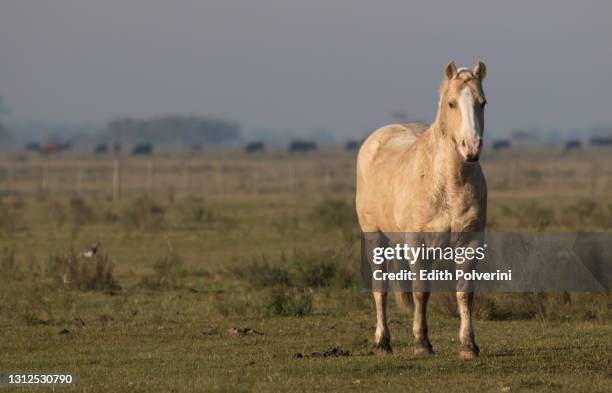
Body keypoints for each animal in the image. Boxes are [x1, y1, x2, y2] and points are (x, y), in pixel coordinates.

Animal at [354, 59, 488, 356]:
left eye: (482, 102)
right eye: (451, 103)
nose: (471, 148)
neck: (448, 182)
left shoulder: (470, 240)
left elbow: (466, 292)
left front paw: (468, 345)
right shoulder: (418, 242)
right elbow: (420, 291)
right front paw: (422, 343)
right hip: (374, 236)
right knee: (379, 288)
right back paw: (382, 342)